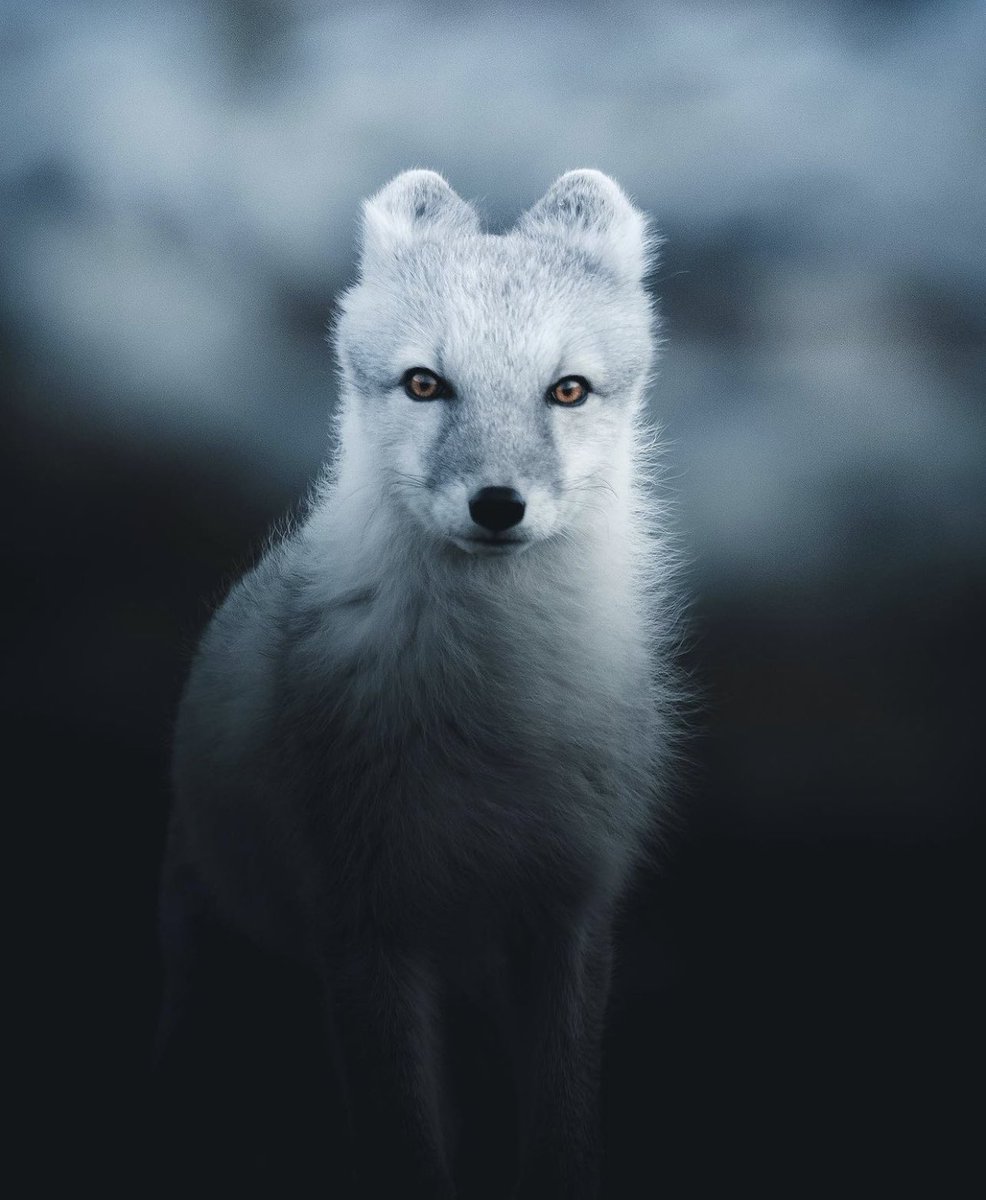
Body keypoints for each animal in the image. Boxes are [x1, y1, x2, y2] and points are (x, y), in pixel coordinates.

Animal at [156, 168, 680, 1199]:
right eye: (425, 384)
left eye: (567, 390)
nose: (498, 505)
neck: (493, 703)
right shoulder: (366, 928)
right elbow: (406, 1145)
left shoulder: (568, 914)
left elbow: (562, 1138)